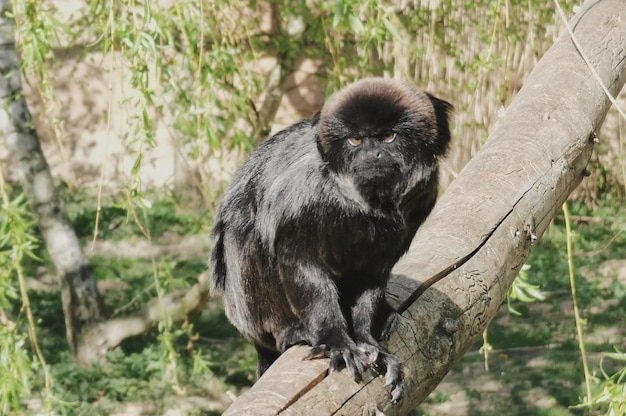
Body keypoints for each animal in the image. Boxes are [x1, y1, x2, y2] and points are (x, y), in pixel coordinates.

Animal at [208, 78, 448, 404]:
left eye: (387, 136)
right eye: (356, 140)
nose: (372, 155)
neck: (364, 202)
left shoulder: (422, 198)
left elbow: (371, 274)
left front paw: (368, 341)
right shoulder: (306, 192)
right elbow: (299, 260)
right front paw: (336, 341)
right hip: (244, 307)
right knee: (247, 232)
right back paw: (289, 332)